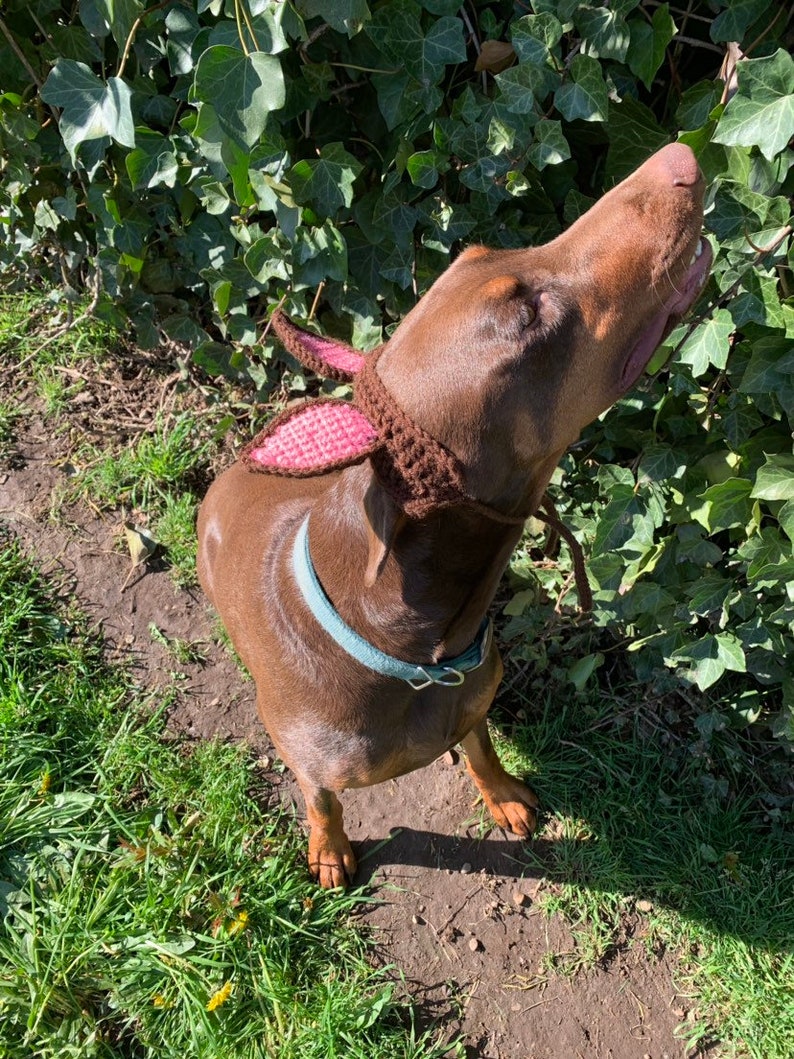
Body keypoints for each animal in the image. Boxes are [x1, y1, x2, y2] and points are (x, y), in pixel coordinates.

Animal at [199, 140, 715, 885]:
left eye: (489, 251)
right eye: (527, 316)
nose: (678, 158)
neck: (406, 650)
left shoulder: (472, 695)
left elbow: (479, 741)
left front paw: (501, 792)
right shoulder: (314, 763)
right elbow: (322, 801)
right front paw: (329, 848)